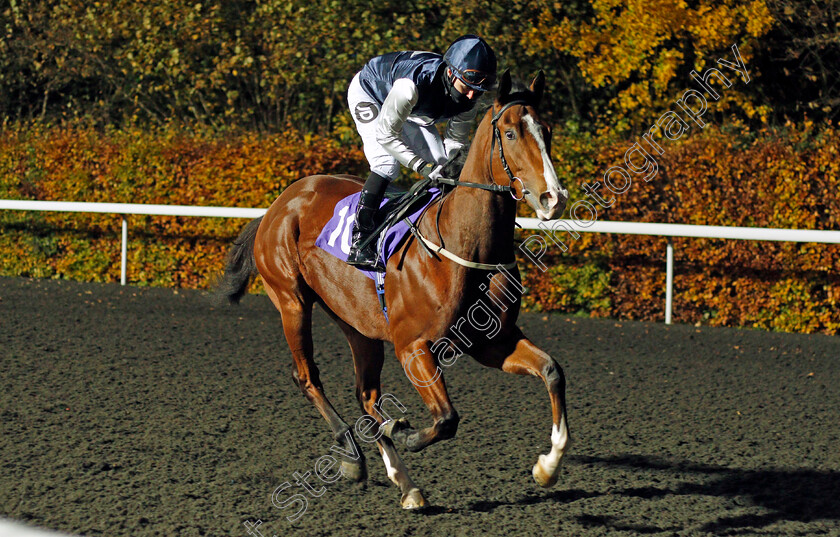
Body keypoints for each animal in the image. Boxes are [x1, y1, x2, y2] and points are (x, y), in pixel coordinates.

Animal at [218, 69, 572, 508]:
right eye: (509, 133)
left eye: (547, 131)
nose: (553, 198)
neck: (463, 247)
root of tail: (281, 203)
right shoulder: (413, 347)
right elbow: (447, 419)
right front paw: (401, 431)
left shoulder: (494, 342)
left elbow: (552, 371)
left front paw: (548, 467)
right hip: (292, 301)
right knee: (308, 378)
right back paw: (353, 455)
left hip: (357, 324)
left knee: (366, 394)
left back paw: (404, 482)